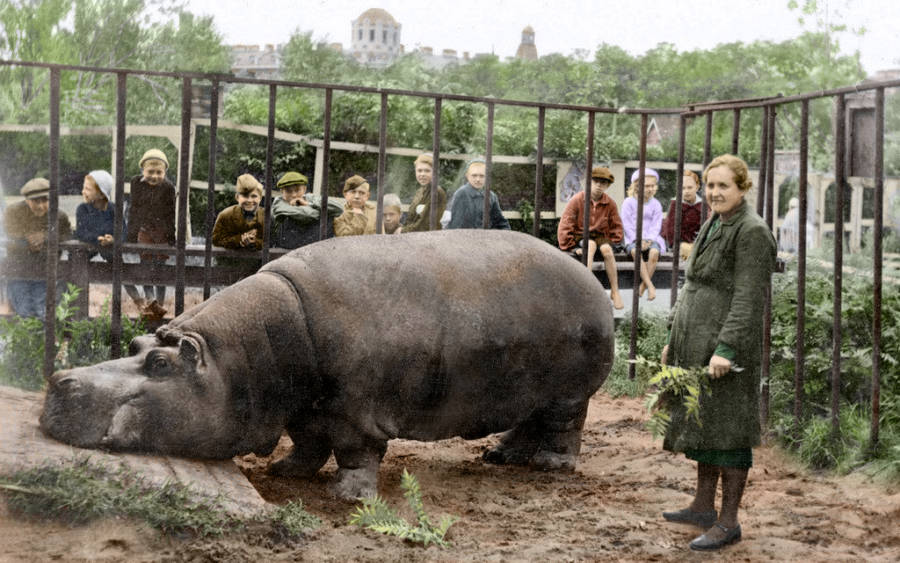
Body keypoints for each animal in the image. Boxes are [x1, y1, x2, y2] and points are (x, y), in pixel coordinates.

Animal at [41, 230, 614, 499]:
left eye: (160, 364)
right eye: (137, 343)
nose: (59, 379)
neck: (240, 355)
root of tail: (591, 280)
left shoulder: (354, 410)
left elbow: (355, 451)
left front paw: (347, 495)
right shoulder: (304, 406)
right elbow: (308, 440)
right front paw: (285, 470)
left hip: (568, 393)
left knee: (564, 428)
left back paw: (550, 466)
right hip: (529, 389)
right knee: (525, 422)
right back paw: (499, 456)